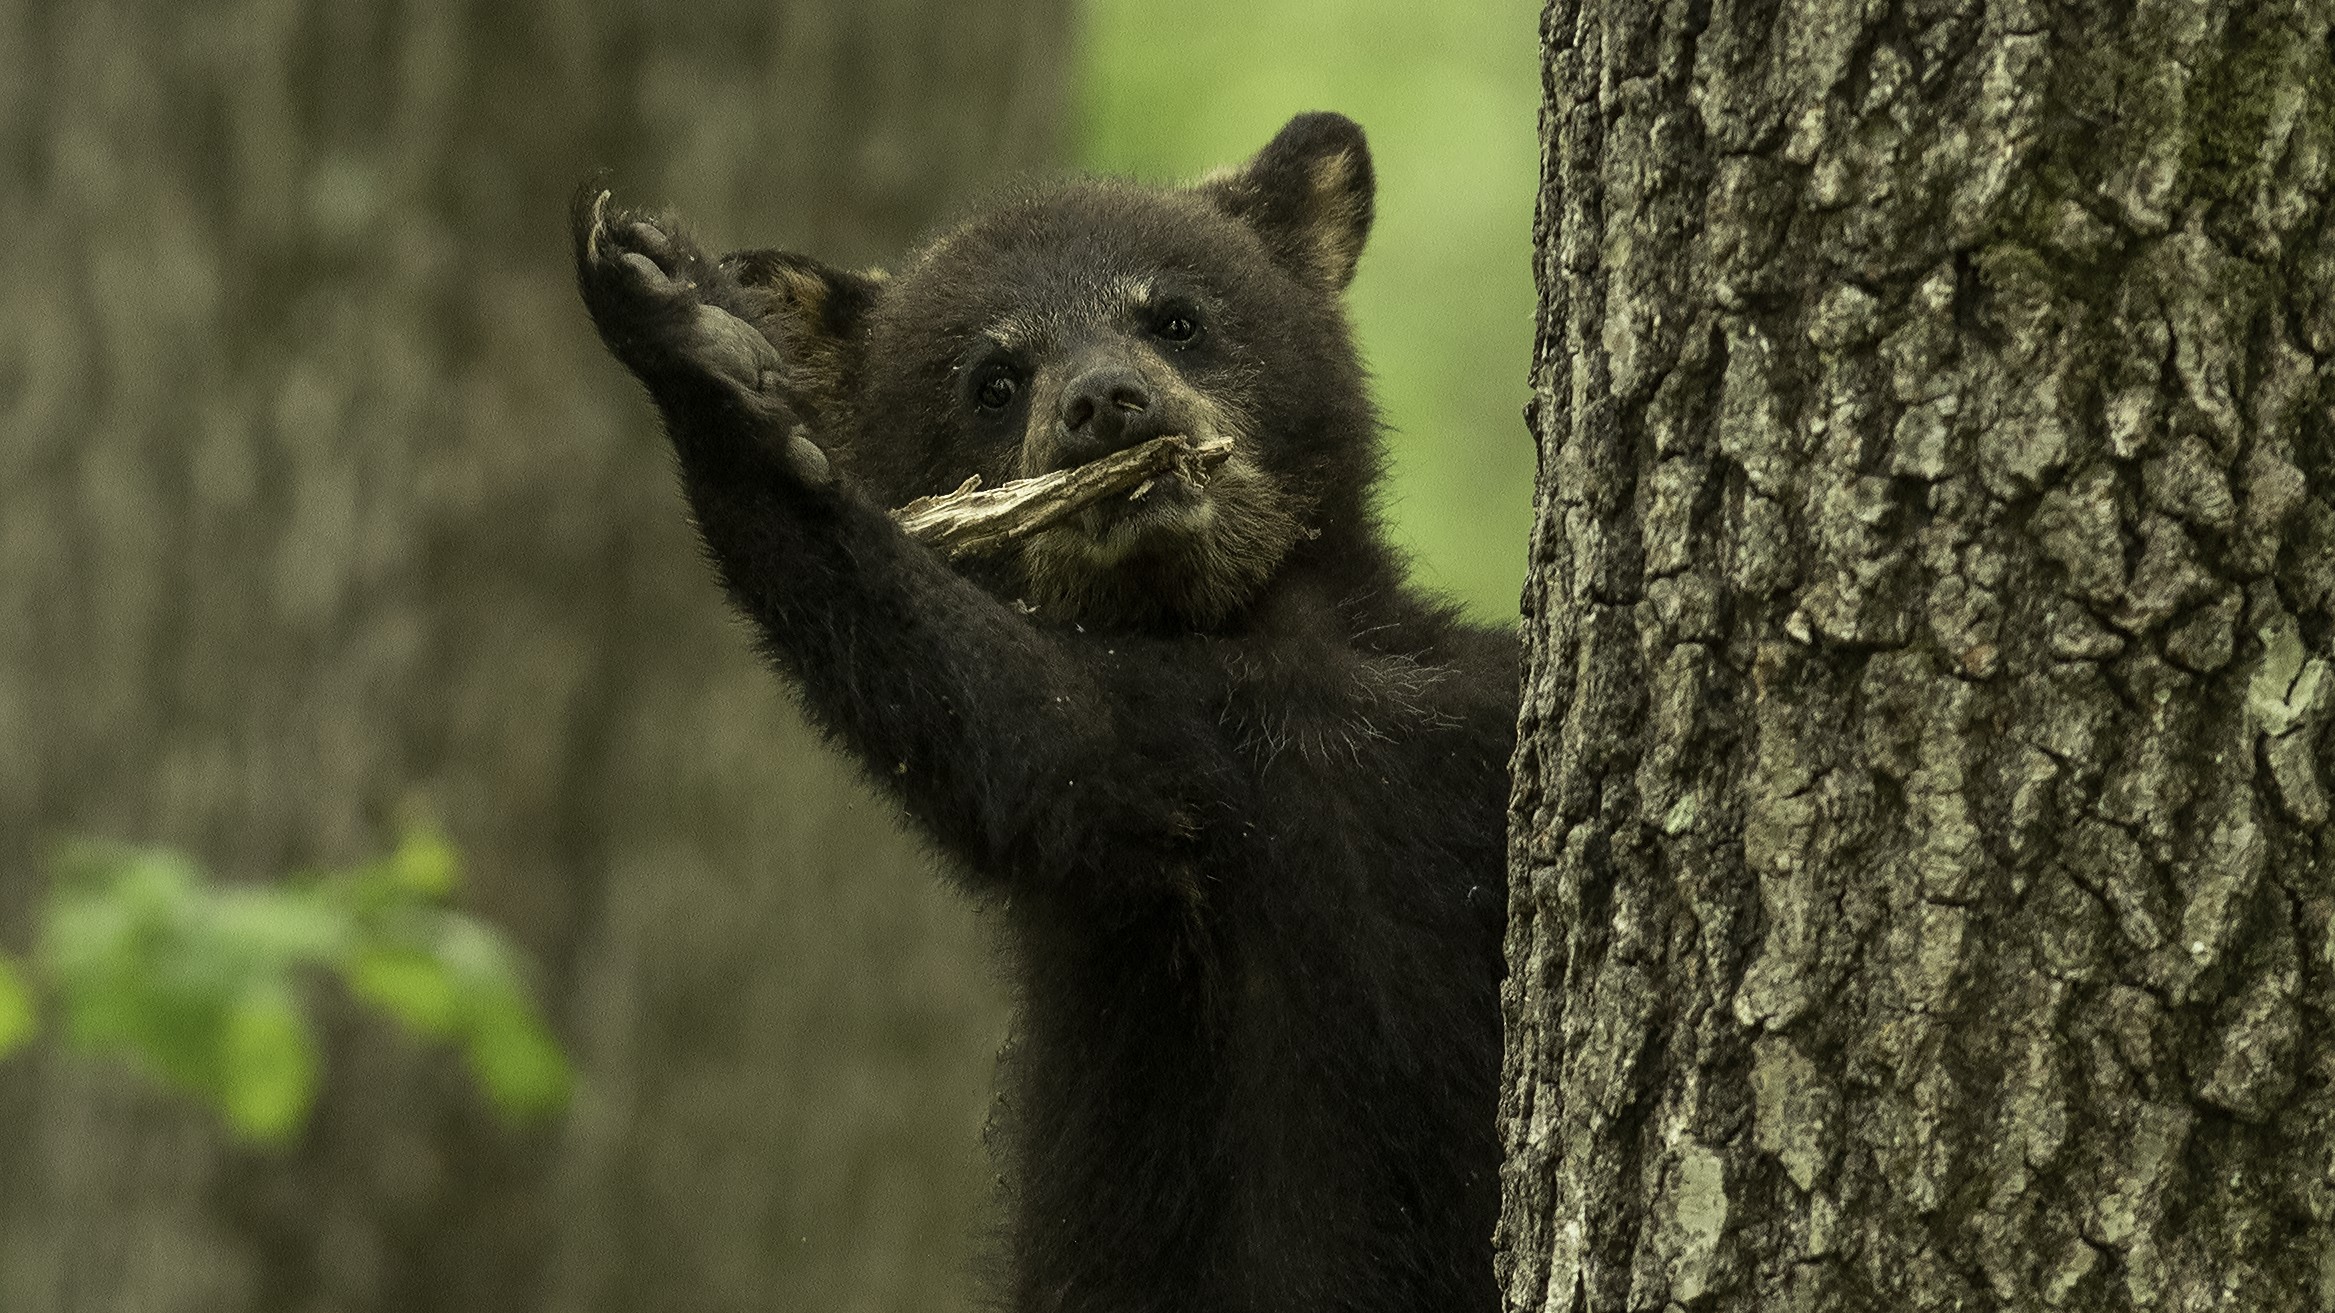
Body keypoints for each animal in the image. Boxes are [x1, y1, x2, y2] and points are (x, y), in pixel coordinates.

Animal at [574, 112, 1515, 1313]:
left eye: (1176, 315)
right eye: (993, 379)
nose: (1104, 403)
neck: (1259, 646)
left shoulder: (1454, 722)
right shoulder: (1160, 814)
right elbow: (1019, 722)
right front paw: (699, 345)